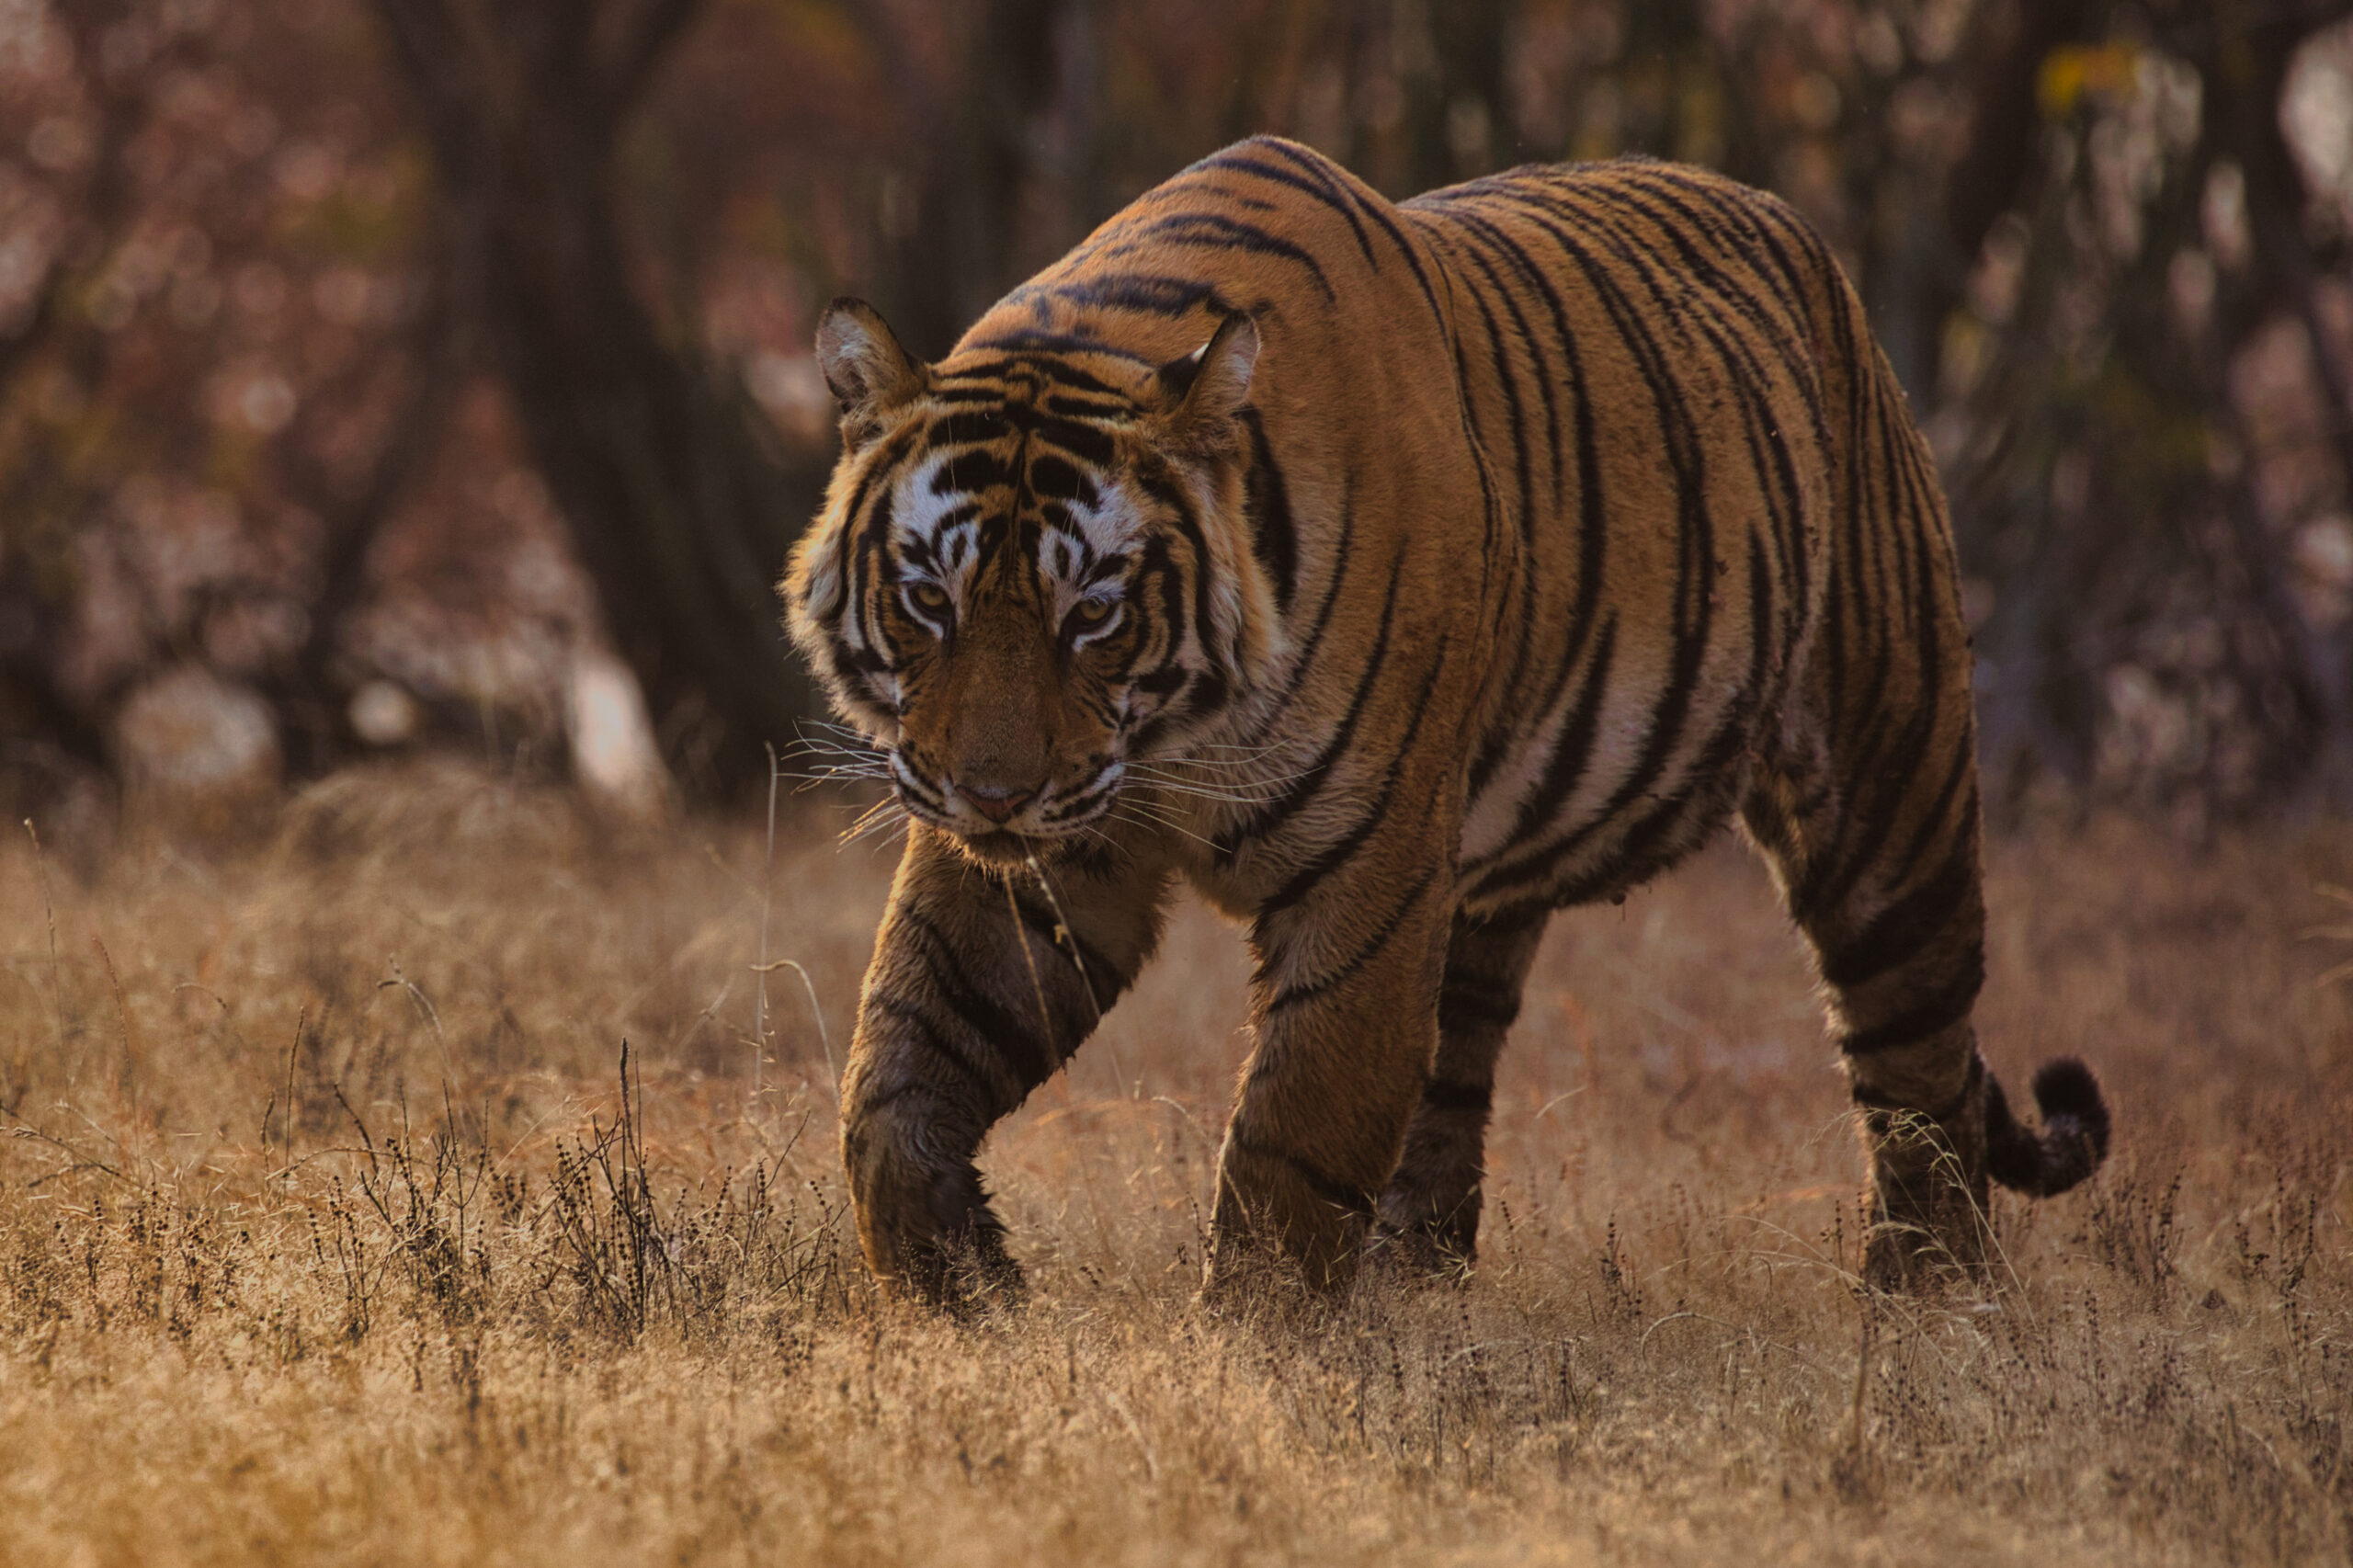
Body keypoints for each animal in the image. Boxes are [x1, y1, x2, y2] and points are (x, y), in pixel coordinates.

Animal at [783, 134, 2109, 1305]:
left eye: (1092, 612)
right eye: (929, 599)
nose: (991, 793)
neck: (1172, 740)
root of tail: (1800, 239)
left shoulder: (1364, 868)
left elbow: (1293, 1143)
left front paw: (1252, 1369)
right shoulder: (1061, 855)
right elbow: (896, 1073)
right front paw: (968, 1290)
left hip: (1888, 788)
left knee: (1921, 1065)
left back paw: (1926, 1312)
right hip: (1473, 887)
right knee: (1453, 1088)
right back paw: (1415, 1296)